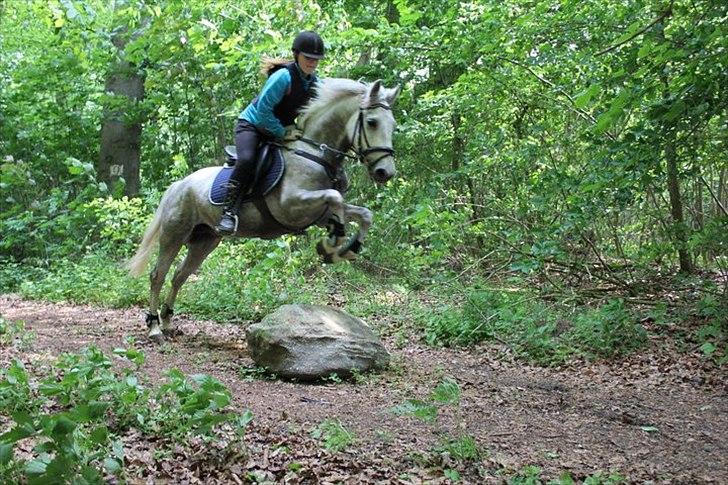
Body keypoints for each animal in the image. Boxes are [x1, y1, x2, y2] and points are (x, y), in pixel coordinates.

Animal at [129, 77, 404, 340]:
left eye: (392, 124)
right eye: (372, 122)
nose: (385, 172)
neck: (314, 154)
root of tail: (179, 185)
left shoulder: (317, 213)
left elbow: (363, 214)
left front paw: (346, 249)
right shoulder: (291, 205)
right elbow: (335, 197)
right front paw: (331, 245)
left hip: (204, 241)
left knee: (179, 276)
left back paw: (167, 322)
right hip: (174, 235)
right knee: (158, 275)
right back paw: (154, 328)